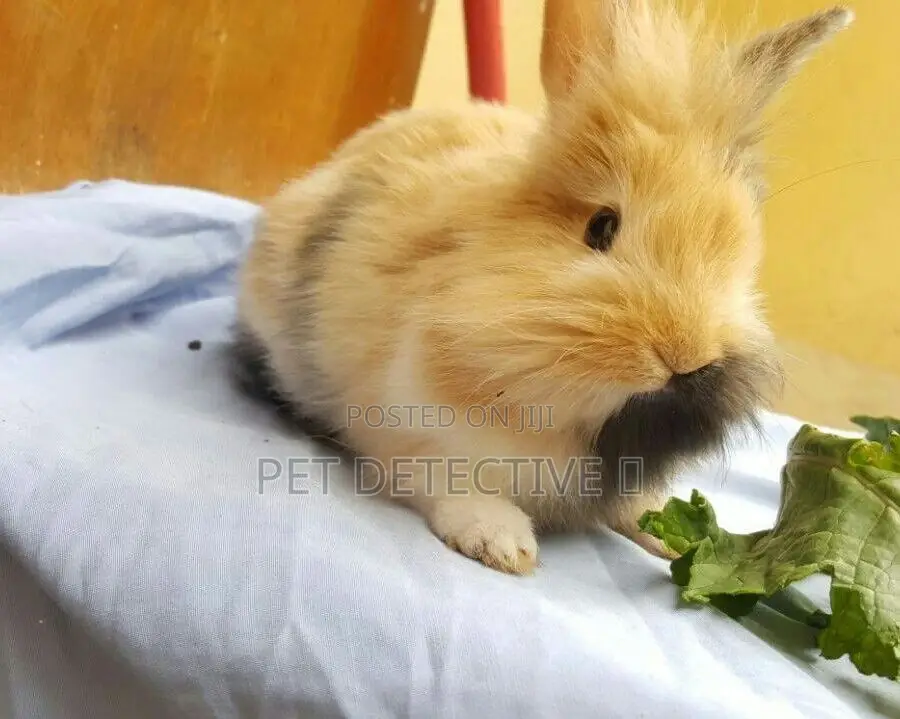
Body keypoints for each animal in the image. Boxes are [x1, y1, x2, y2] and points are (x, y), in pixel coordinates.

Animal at [232, 0, 853, 575]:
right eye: (601, 226)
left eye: (741, 258)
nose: (684, 357)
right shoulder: (407, 433)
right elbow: (447, 484)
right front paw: (503, 544)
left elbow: (638, 507)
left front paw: (678, 537)